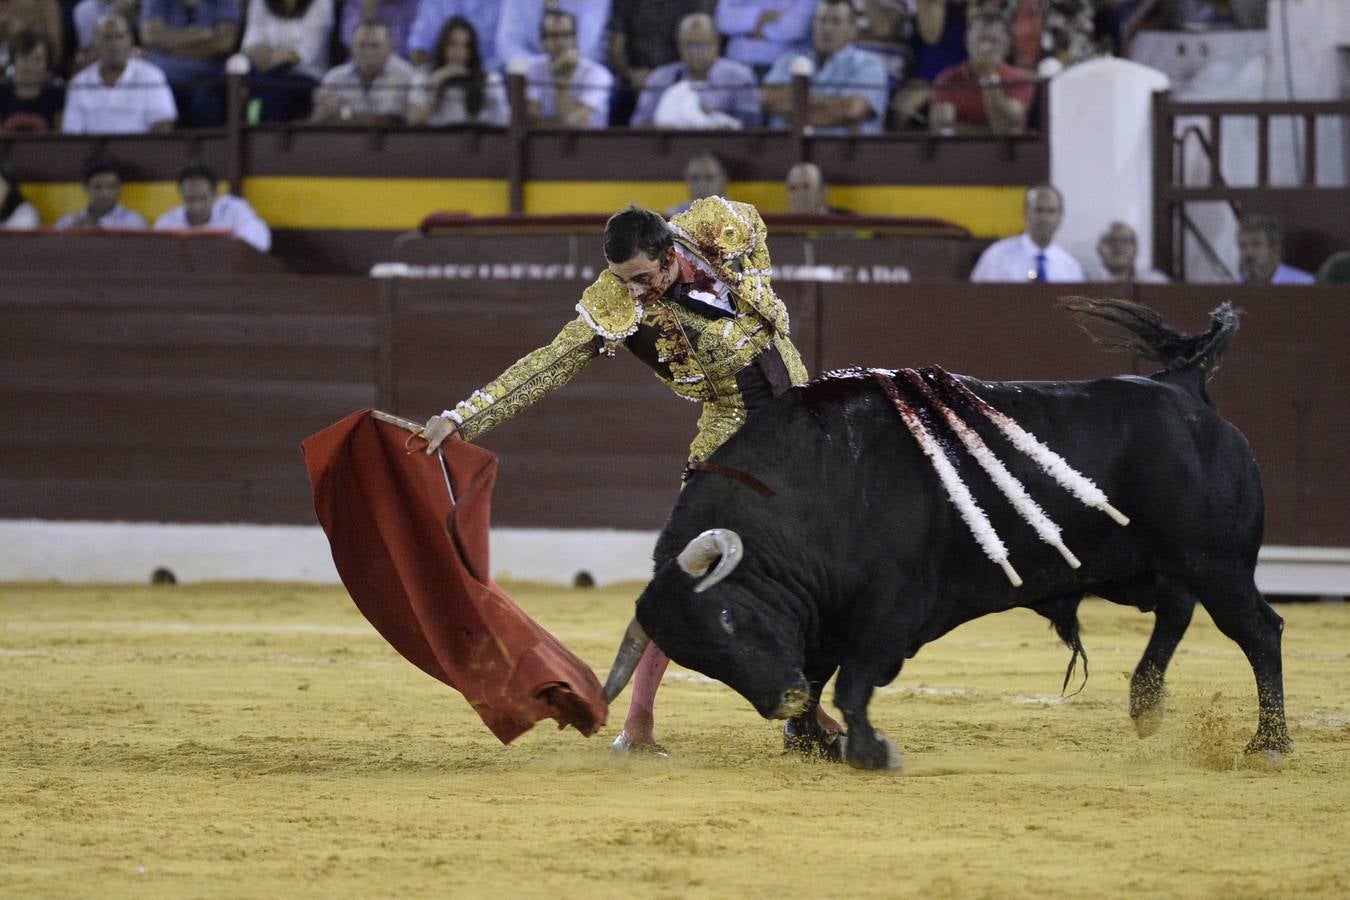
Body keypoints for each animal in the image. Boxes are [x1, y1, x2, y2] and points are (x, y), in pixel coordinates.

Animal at [599, 299, 1285, 771]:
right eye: (701, 660)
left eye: (726, 619)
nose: (781, 700)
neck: (812, 490)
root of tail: (1180, 387)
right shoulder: (823, 619)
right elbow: (827, 680)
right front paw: (817, 742)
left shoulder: (888, 609)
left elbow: (851, 685)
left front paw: (868, 752)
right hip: (1134, 565)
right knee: (1176, 608)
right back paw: (1145, 705)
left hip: (1216, 561)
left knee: (1258, 630)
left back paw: (1269, 745)